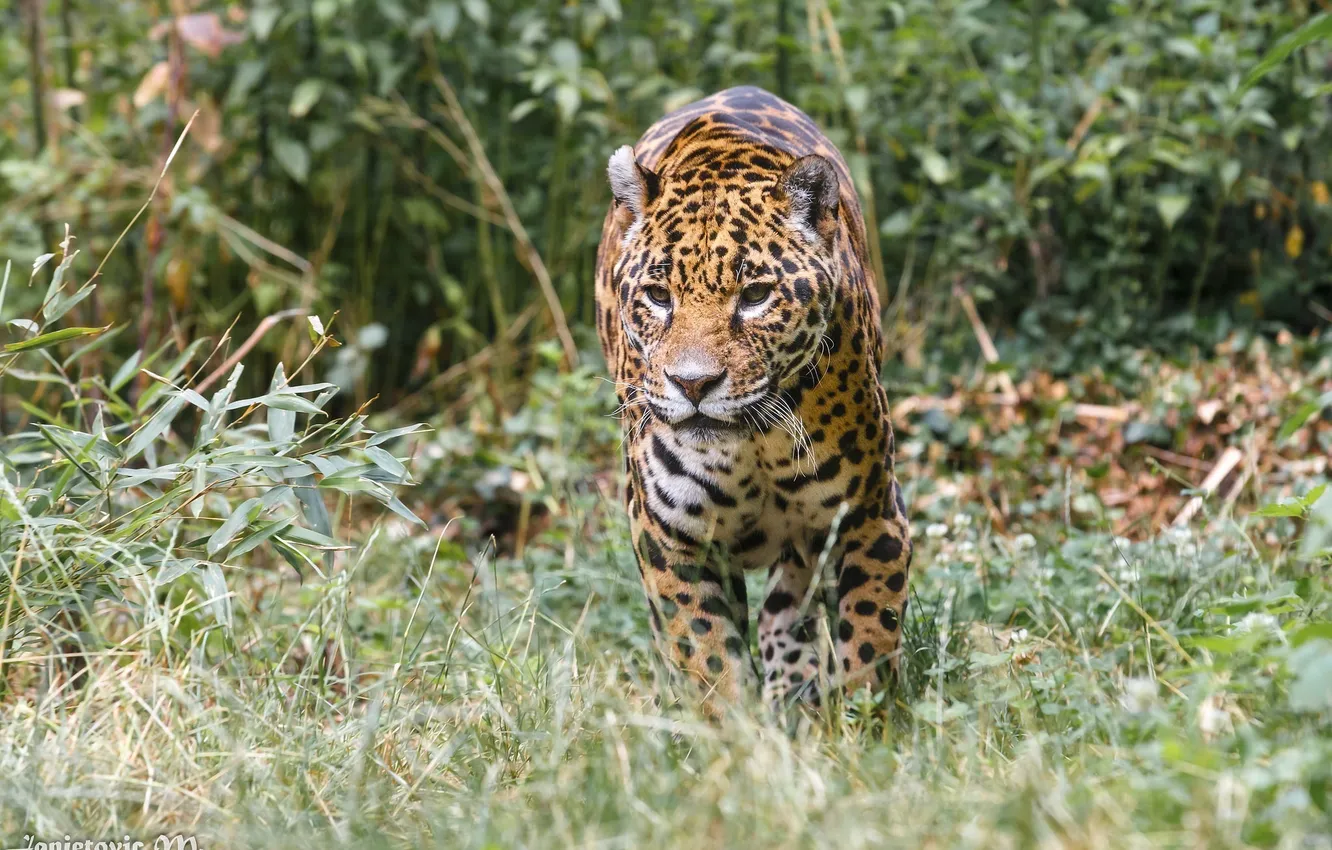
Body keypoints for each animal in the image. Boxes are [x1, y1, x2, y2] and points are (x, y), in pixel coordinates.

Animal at [594, 85, 912, 712]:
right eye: (659, 296)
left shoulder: (872, 517)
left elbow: (868, 640)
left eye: (756, 295)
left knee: (788, 602)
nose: (693, 384)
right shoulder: (672, 540)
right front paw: (733, 729)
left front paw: (859, 723)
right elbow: (708, 657)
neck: (752, 442)